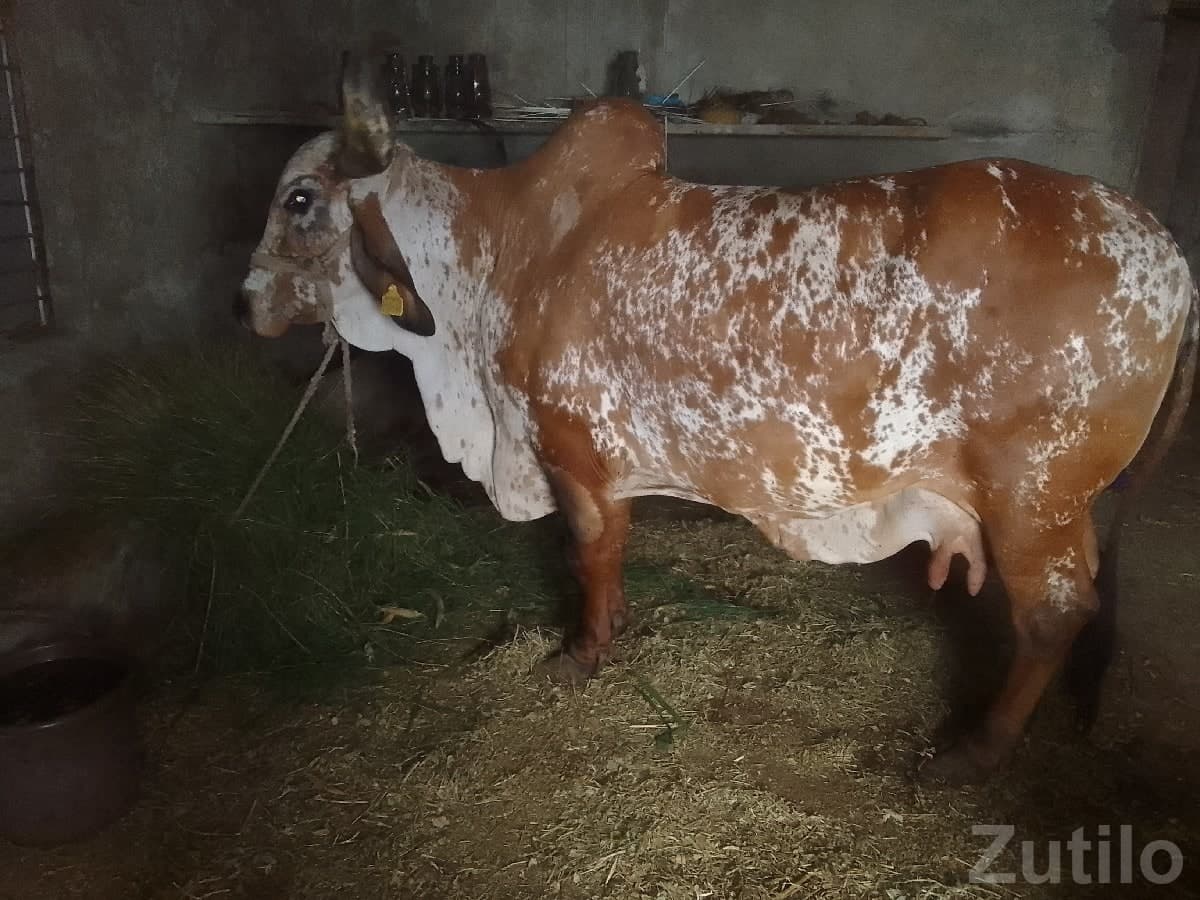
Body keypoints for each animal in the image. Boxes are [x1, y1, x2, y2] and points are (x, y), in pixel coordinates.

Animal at [238, 64, 1198, 783]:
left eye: (299, 200)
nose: (247, 300)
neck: (507, 258)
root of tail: (1169, 252)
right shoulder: (608, 460)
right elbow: (615, 546)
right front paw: (616, 624)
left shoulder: (571, 449)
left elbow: (588, 550)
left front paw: (582, 652)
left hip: (1034, 498)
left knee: (1054, 614)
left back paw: (975, 752)